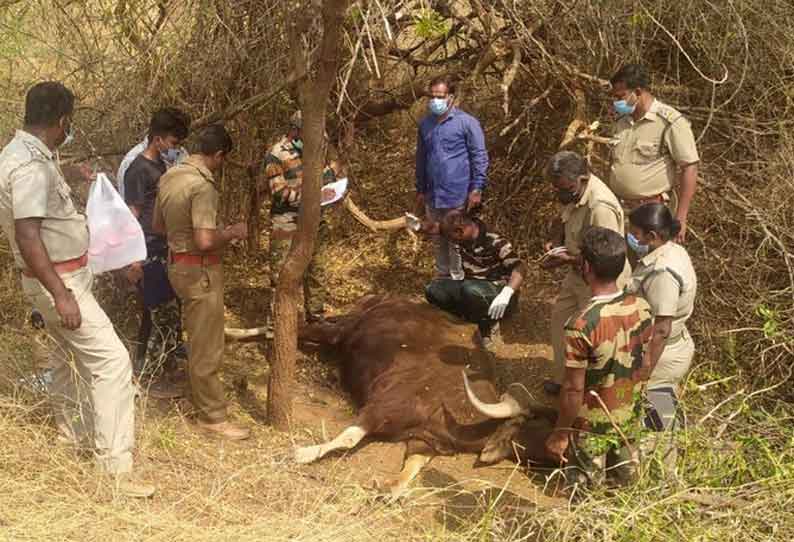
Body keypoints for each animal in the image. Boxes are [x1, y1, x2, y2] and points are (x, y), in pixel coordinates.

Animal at [288, 298, 552, 498]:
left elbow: (411, 467)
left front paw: (389, 489)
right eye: (536, 425)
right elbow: (349, 438)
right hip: (343, 330)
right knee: (306, 328)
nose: (558, 452)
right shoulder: (381, 408)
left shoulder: (424, 444)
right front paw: (303, 454)